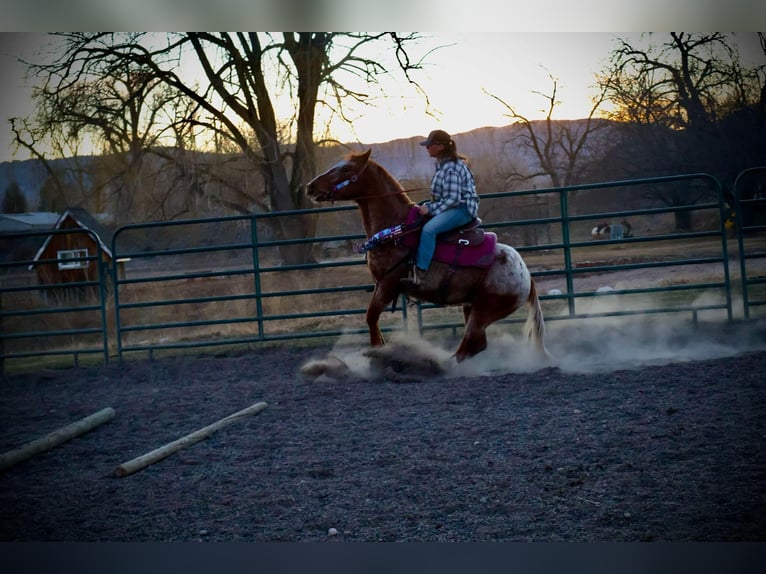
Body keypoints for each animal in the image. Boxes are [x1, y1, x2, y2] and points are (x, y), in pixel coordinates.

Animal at [306, 148, 552, 364]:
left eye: (346, 169)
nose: (310, 186)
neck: (397, 230)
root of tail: (526, 276)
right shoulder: (380, 284)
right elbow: (372, 319)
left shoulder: (388, 284)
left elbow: (371, 316)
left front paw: (376, 352)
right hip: (471, 306)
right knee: (476, 344)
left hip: (485, 310)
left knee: (472, 340)